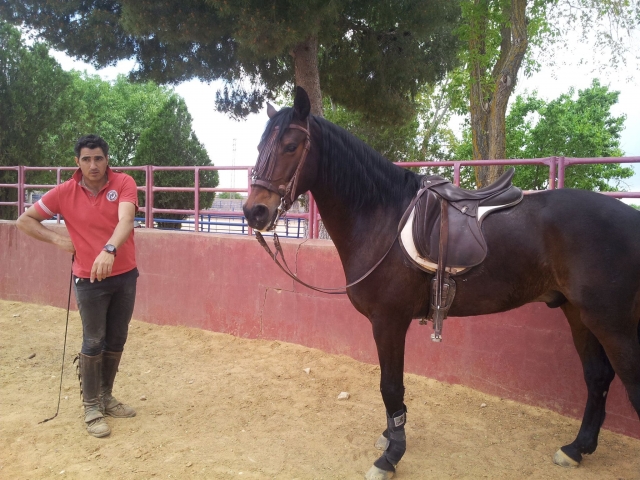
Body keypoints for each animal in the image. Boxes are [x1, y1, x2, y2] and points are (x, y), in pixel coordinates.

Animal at [243, 86, 640, 479]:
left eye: (290, 146)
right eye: (260, 146)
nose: (254, 212)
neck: (382, 217)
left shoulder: (389, 321)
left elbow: (390, 386)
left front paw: (391, 456)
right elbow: (392, 388)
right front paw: (391, 436)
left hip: (612, 324)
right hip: (578, 313)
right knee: (598, 376)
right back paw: (576, 448)